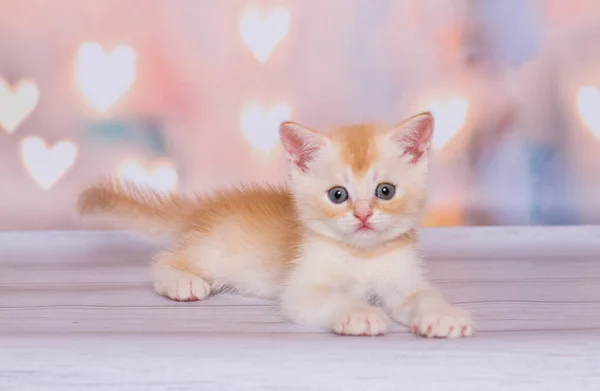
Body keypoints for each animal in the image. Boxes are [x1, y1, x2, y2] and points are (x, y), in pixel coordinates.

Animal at [78, 112, 474, 338]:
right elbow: (331, 298)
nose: (362, 215)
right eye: (338, 195)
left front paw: (443, 316)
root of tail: (206, 206)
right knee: (164, 260)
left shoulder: (404, 282)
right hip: (213, 253)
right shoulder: (302, 289)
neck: (361, 255)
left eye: (385, 191)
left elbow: (423, 296)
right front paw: (360, 314)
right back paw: (182, 282)